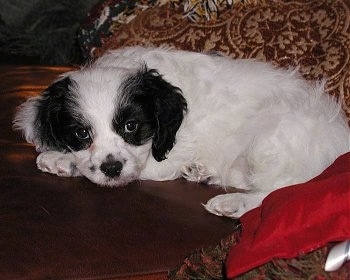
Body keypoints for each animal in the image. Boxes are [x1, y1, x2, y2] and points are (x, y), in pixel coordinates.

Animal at [12, 46, 348, 218]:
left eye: (132, 126)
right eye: (82, 133)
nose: (111, 168)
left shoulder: (164, 157)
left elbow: (138, 169)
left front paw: (61, 159)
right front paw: (62, 157)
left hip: (273, 132)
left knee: (285, 188)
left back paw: (234, 203)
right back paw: (205, 173)